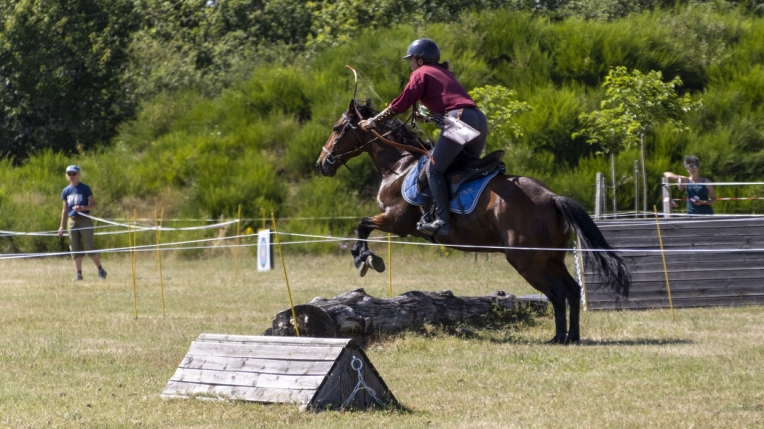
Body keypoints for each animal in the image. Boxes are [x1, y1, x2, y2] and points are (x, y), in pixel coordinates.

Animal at [314, 98, 628, 342]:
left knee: (556, 292)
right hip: (551, 257)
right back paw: (572, 336)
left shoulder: (396, 221)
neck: (399, 166)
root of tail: (552, 197)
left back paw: (559, 337)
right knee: (572, 290)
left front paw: (364, 258)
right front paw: (365, 257)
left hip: (525, 259)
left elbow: (363, 223)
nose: (321, 164)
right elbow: (364, 224)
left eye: (337, 129)